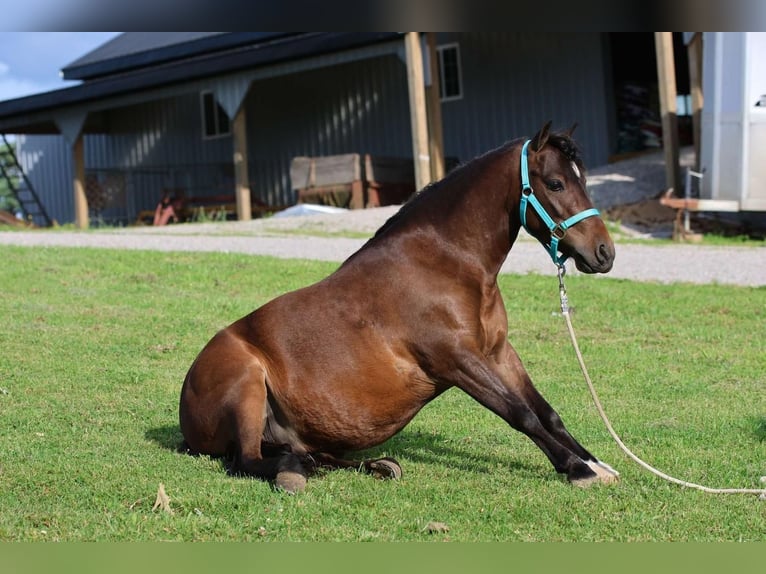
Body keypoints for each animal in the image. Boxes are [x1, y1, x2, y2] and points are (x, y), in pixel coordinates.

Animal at [183, 122, 620, 496]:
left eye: (582, 179)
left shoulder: (498, 353)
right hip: (248, 385)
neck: (444, 263)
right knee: (247, 460)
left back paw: (372, 465)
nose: (604, 253)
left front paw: (597, 464)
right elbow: (521, 414)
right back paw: (294, 472)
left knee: (308, 454)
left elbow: (546, 412)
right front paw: (576, 468)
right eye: (556, 183)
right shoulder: (457, 360)